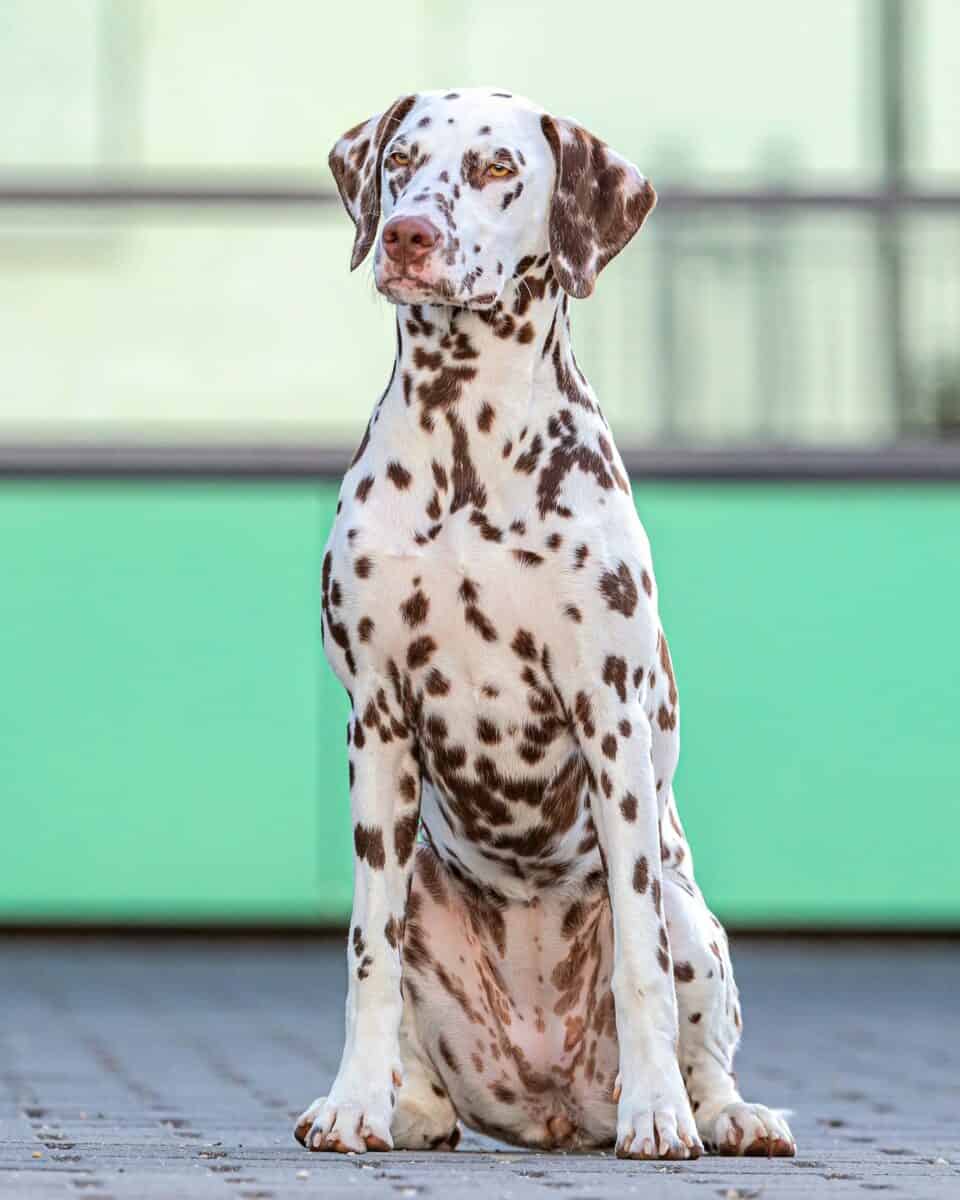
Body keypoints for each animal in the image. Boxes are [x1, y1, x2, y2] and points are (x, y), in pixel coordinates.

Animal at [292, 91, 796, 1161]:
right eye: (400, 162)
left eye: (495, 169)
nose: (406, 234)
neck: (468, 443)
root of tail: (553, 1101)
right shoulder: (377, 726)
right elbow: (365, 956)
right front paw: (353, 1104)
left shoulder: (611, 719)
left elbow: (641, 964)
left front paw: (660, 1118)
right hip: (424, 886)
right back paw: (409, 1108)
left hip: (691, 913)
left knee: (698, 1027)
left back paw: (721, 1113)